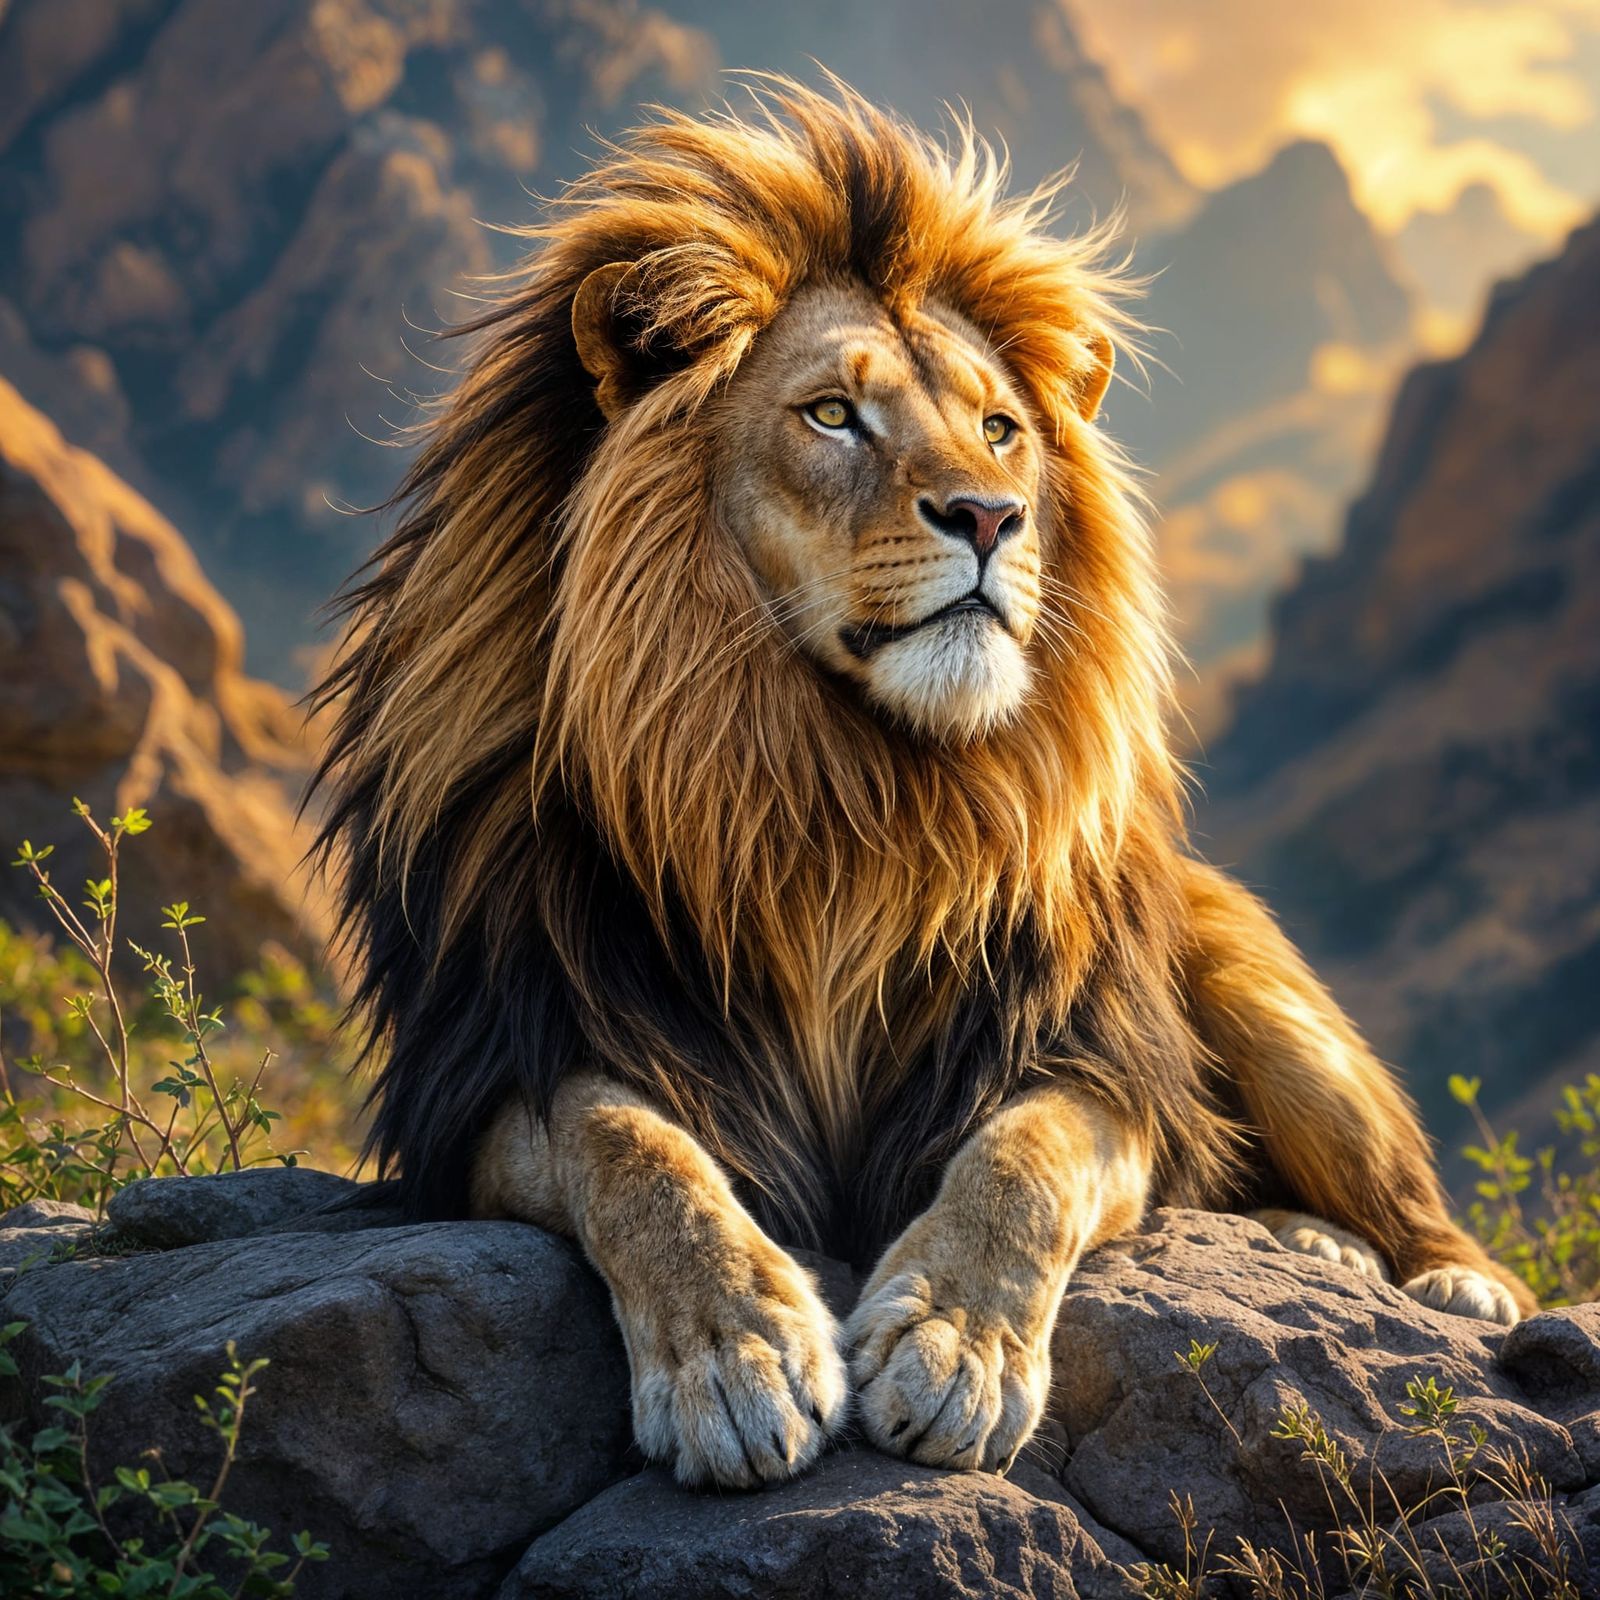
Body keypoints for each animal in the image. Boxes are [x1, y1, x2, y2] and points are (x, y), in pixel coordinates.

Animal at [311, 83, 1534, 1491]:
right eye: (833, 415)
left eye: (1000, 429)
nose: (992, 514)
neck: (840, 794)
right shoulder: (505, 1057)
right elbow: (632, 1148)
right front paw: (736, 1357)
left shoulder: (1089, 1056)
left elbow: (1021, 1162)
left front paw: (953, 1351)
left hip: (1261, 993)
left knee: (1419, 1205)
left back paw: (1411, 1271)